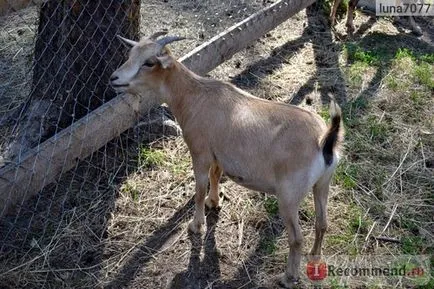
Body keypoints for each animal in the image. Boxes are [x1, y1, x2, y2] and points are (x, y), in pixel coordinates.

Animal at [110, 32, 344, 286]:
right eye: (130, 54)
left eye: (149, 62)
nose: (114, 78)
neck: (193, 96)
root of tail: (324, 140)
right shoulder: (218, 154)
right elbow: (215, 175)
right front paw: (214, 203)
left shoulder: (200, 152)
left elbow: (199, 189)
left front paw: (196, 225)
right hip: (323, 183)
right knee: (322, 223)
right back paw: (315, 257)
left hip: (289, 196)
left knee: (296, 238)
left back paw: (288, 277)